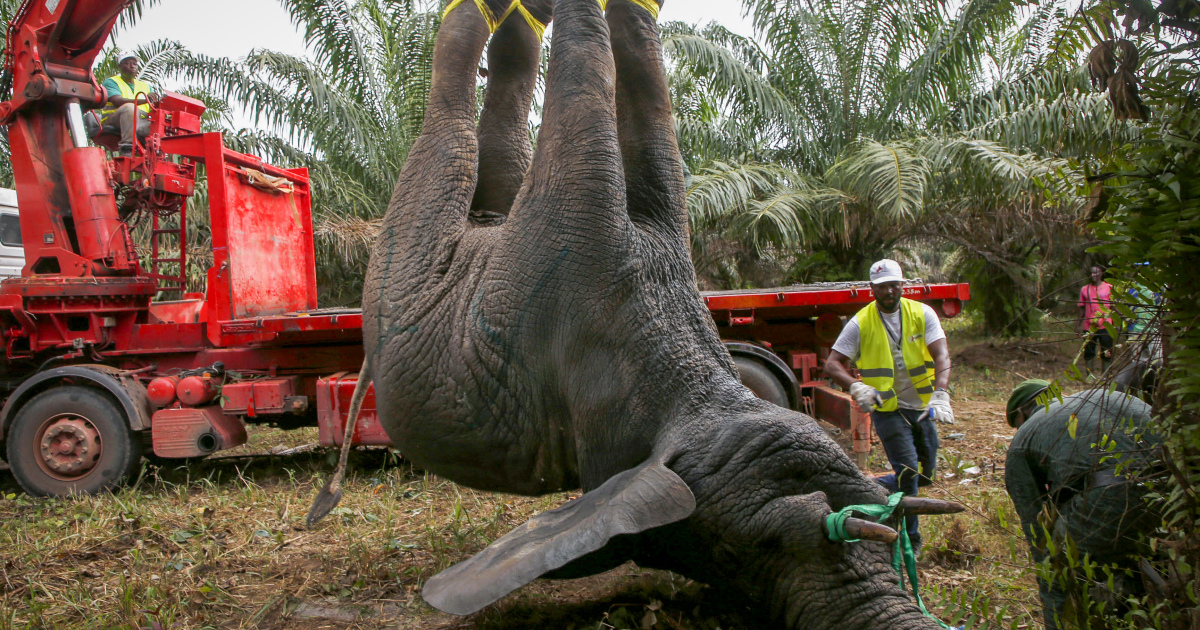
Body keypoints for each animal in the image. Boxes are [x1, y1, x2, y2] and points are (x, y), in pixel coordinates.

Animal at [357, 1, 964, 624]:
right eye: (766, 540)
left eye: (740, 561)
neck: (681, 378)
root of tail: (485, 225)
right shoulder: (585, 221)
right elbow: (611, 83)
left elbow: (636, 87)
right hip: (418, 232)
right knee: (458, 119)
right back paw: (506, 13)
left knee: (489, 108)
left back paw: (515, 17)